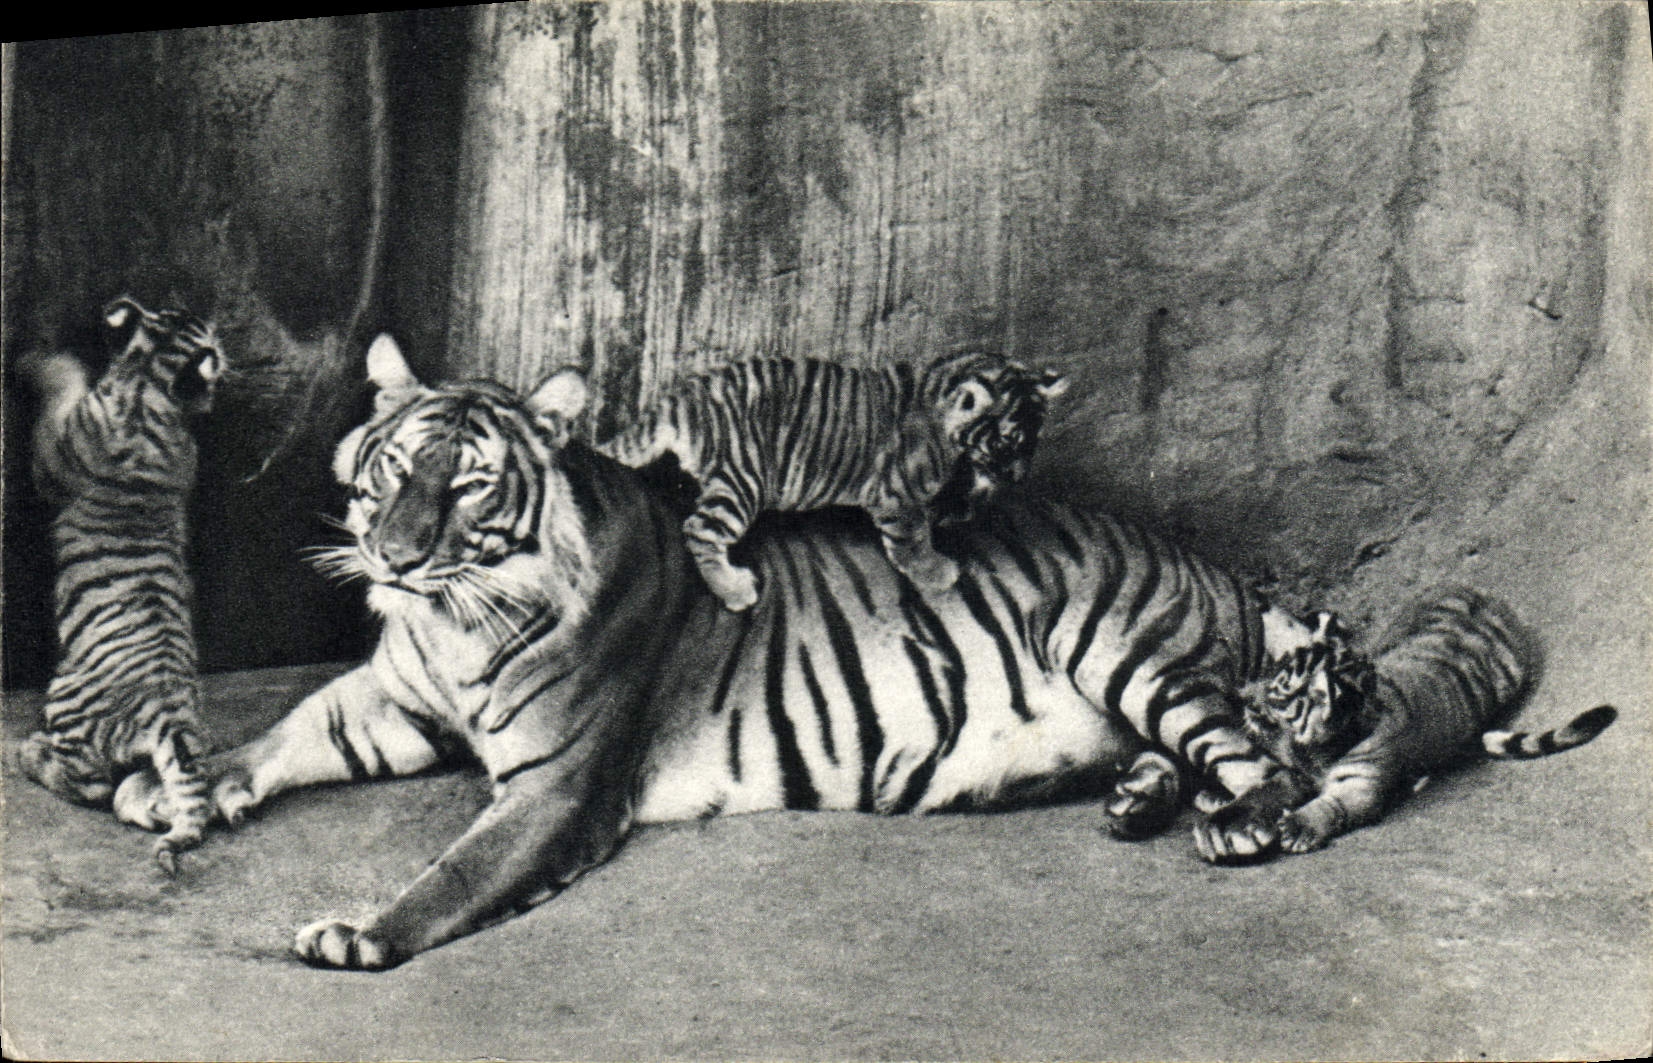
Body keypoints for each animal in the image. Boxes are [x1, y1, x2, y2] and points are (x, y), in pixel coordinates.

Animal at [16, 296, 225, 874]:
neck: (148, 387)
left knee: (86, 785)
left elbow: (61, 383)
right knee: (165, 793)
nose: (222, 350)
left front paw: (36, 360)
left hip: (66, 700)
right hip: (176, 754)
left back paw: (27, 753)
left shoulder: (54, 445)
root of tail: (170, 712)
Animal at [596, 352, 1068, 611]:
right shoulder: (898, 496)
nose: (1019, 477)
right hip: (744, 480)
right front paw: (936, 572)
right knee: (699, 529)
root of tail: (683, 394)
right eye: (1006, 443)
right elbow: (912, 541)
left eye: (1032, 443)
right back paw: (733, 588)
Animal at [1230, 588, 1617, 853]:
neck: (1317, 751)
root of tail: (1482, 595)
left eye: (1276, 691)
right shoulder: (1295, 771)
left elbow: (1332, 804)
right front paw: (1239, 815)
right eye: (1270, 668)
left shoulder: (1360, 784)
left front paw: (1298, 826)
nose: (1240, 694)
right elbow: (1267, 789)